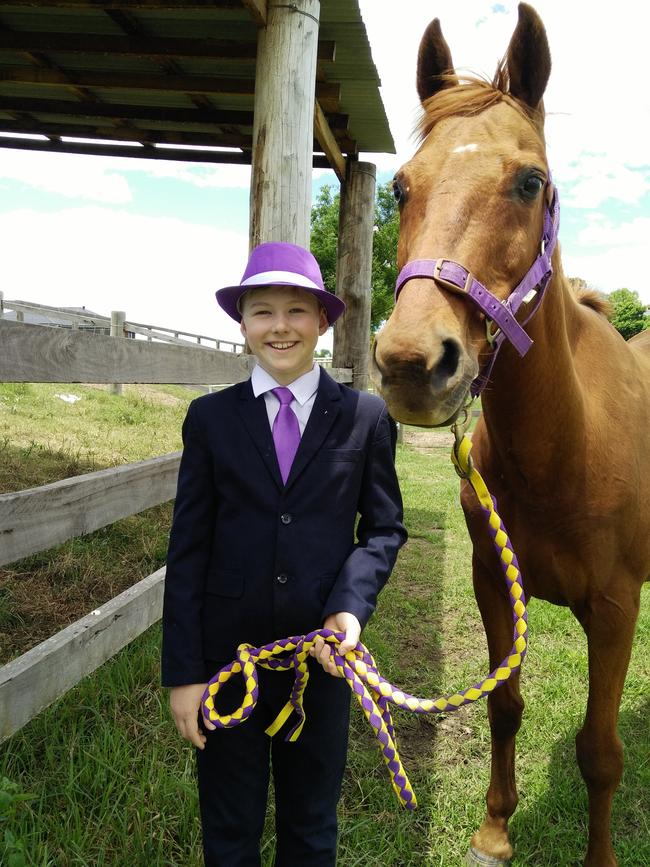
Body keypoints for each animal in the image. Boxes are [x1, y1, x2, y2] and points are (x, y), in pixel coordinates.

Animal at [370, 3, 648, 864]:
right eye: (402, 185)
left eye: (530, 181)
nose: (411, 362)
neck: (566, 449)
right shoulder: (494, 583)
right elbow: (504, 706)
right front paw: (495, 830)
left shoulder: (616, 607)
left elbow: (601, 751)